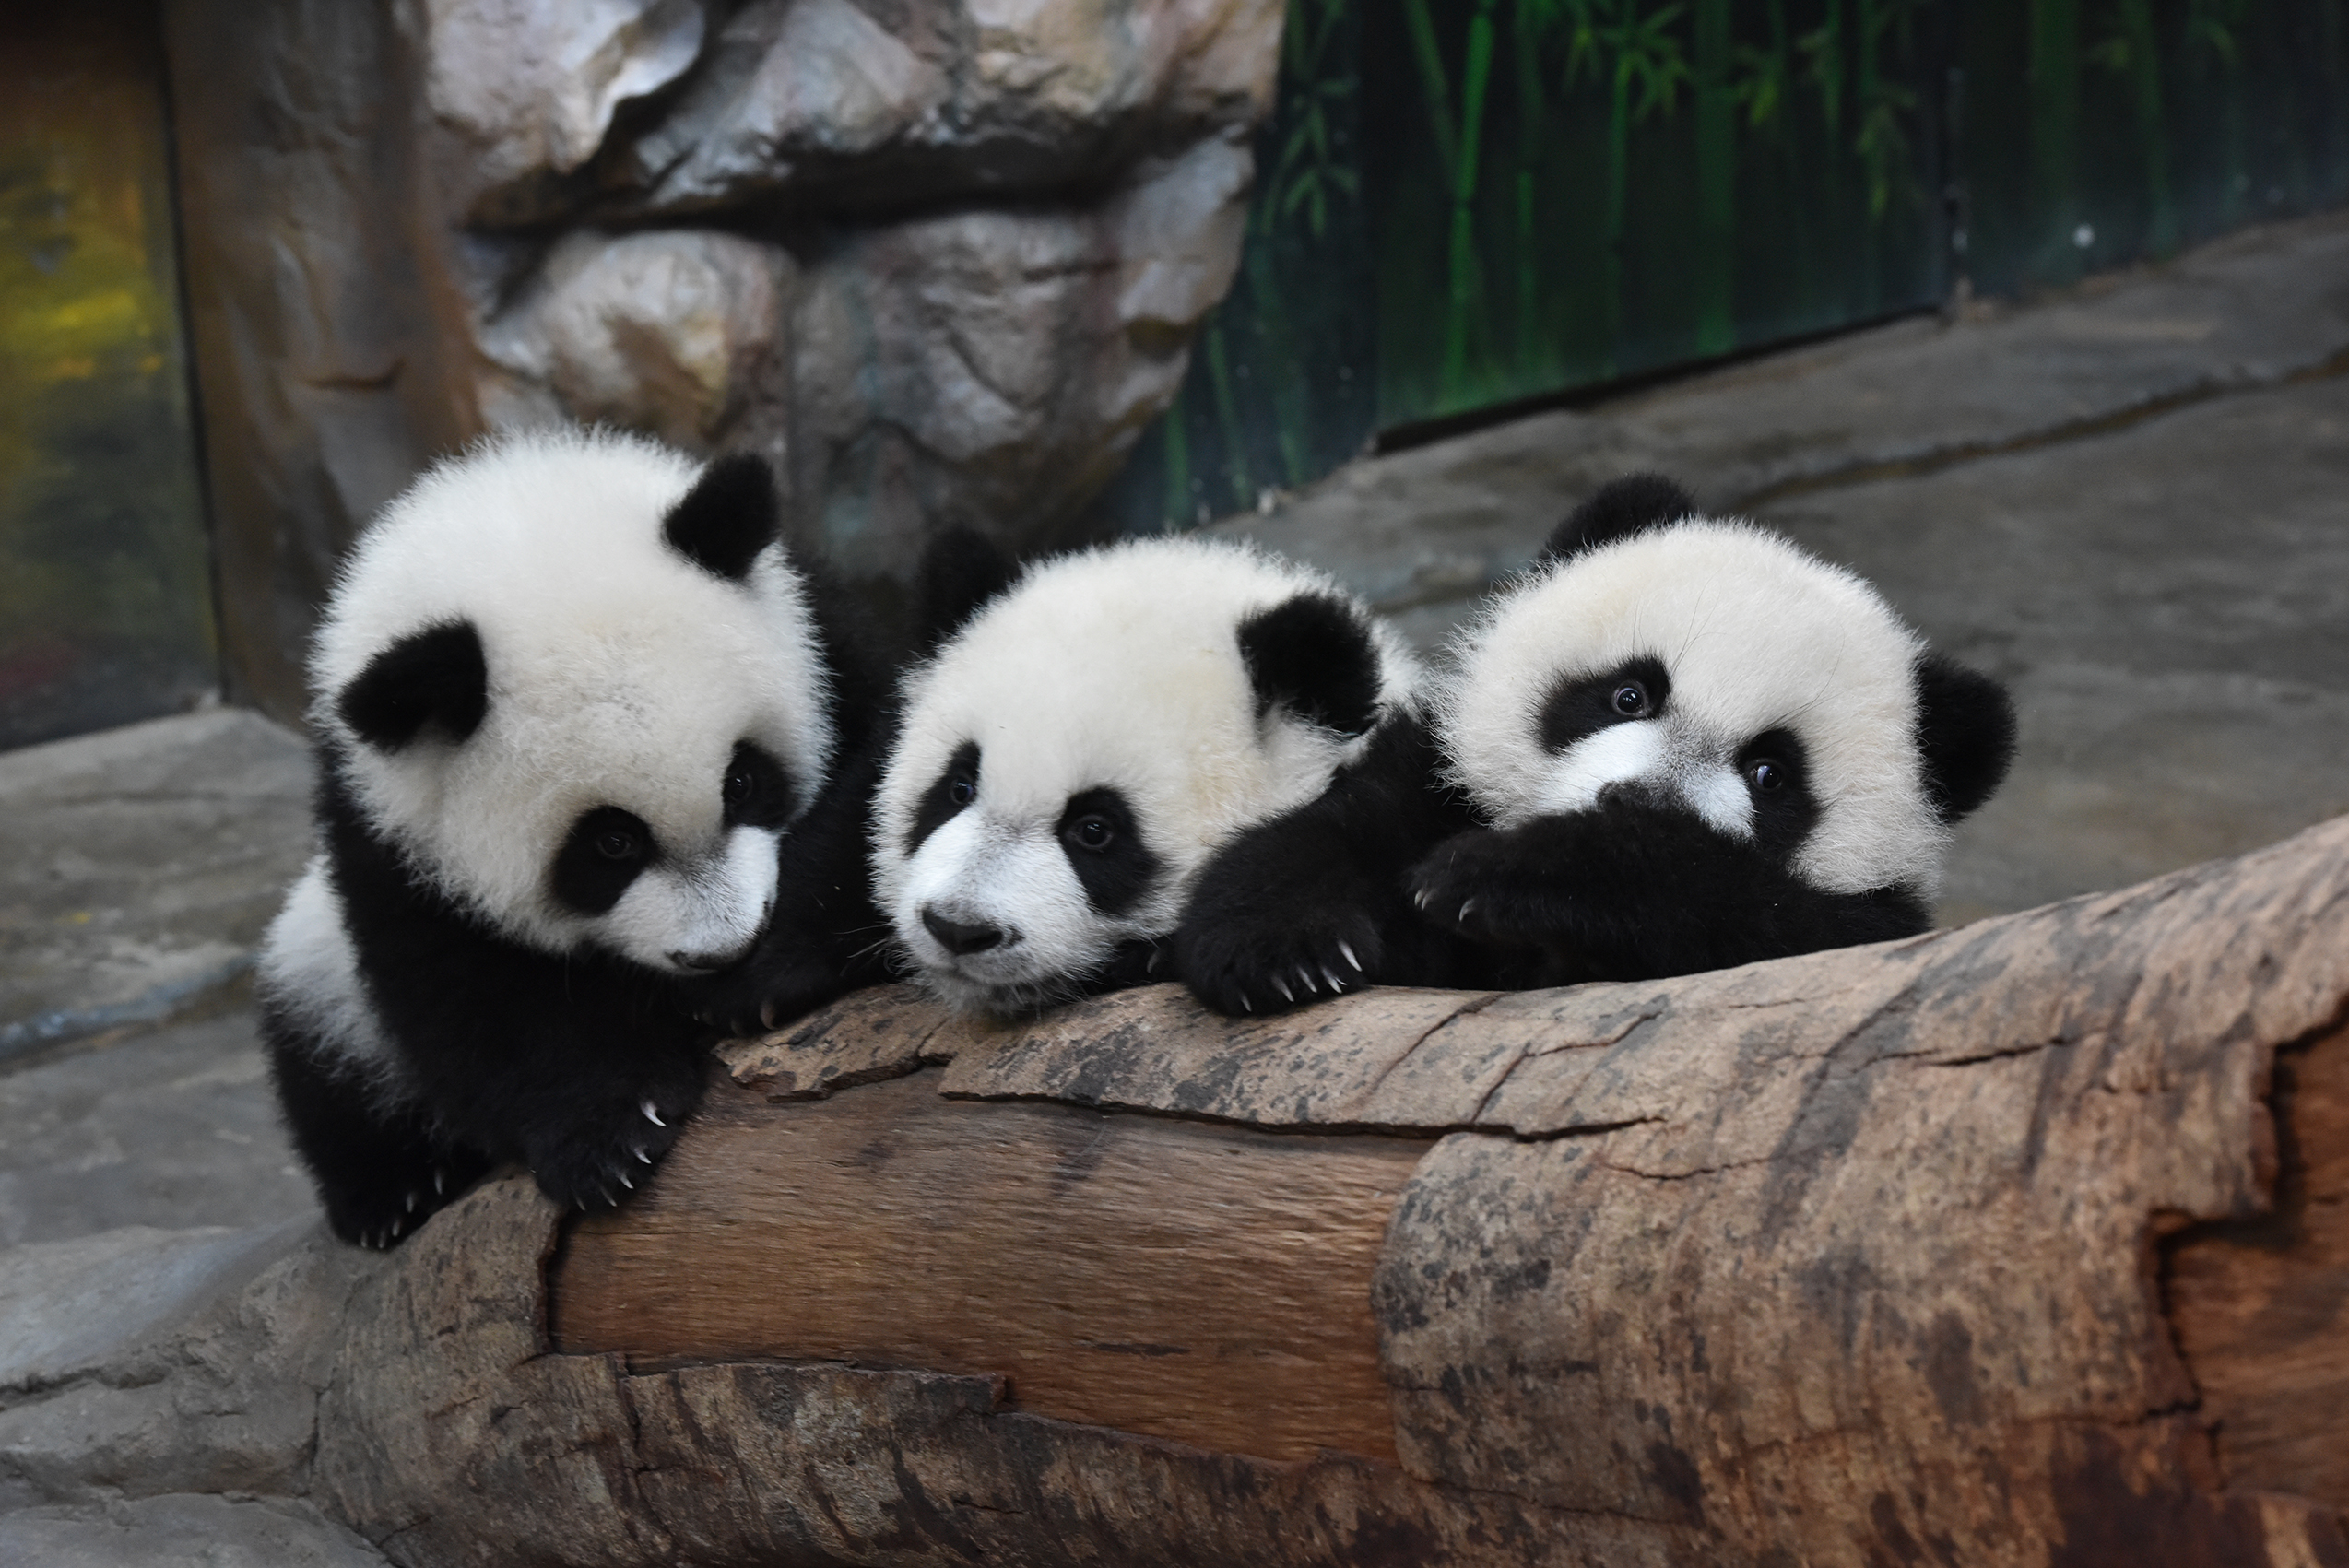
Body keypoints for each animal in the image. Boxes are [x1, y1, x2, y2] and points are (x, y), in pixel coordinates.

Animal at [256, 428, 877, 1248]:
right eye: (610, 845)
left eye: (743, 781)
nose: (723, 950)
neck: (513, 511)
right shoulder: (384, 831)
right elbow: (471, 993)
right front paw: (610, 1132)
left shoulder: (827, 644)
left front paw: (765, 978)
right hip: (319, 966)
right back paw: (393, 1191)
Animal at [1411, 474, 2017, 986]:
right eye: (1630, 696)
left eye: (1769, 774)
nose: (1637, 803)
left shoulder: (1869, 930)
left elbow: (1755, 914)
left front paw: (1507, 874)